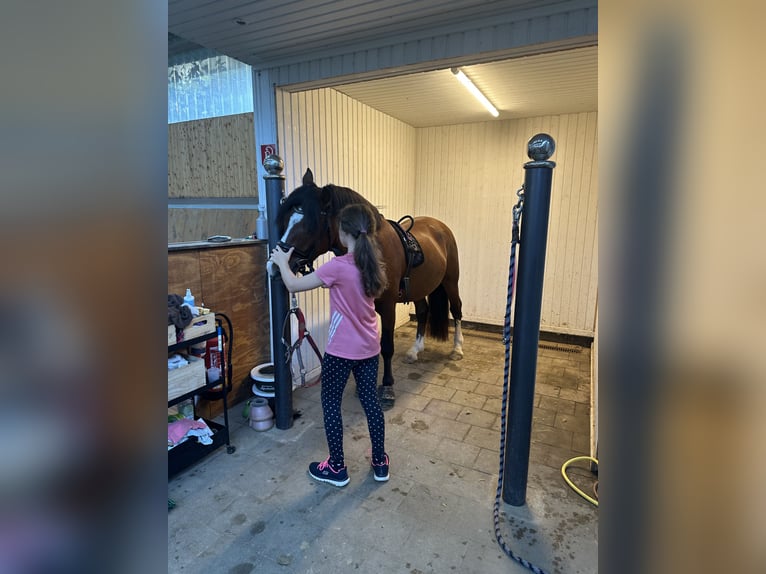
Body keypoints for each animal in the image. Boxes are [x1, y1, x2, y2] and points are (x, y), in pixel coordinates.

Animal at [268, 169, 464, 412]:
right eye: (286, 221)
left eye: (309, 225)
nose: (274, 267)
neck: (373, 247)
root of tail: (440, 227)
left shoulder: (388, 307)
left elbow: (386, 347)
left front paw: (387, 388)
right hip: (420, 288)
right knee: (422, 312)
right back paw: (415, 350)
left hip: (451, 281)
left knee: (457, 310)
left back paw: (457, 349)